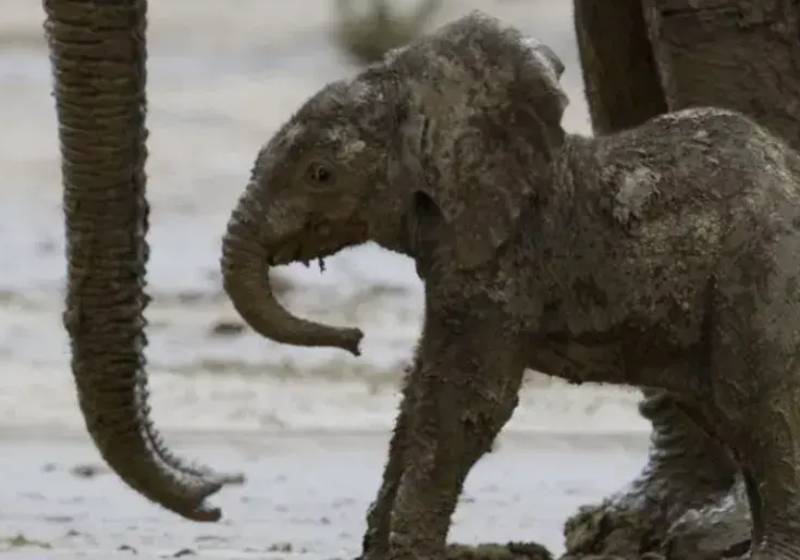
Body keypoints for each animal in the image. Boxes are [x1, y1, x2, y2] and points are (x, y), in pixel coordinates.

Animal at [220, 12, 800, 560]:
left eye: (320, 174)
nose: (357, 339)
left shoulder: (504, 262)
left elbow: (466, 401)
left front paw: (412, 552)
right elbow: (420, 390)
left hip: (761, 271)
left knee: (756, 404)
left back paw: (768, 553)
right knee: (733, 417)